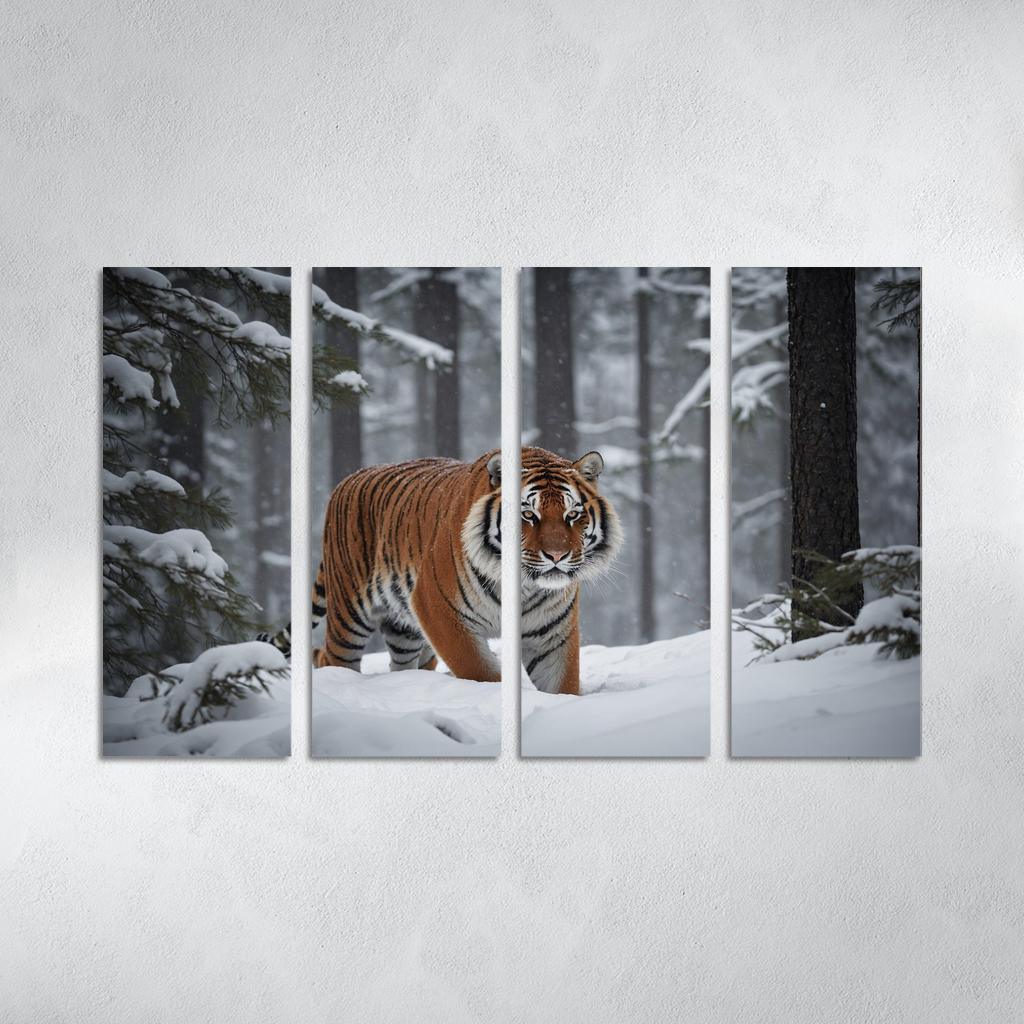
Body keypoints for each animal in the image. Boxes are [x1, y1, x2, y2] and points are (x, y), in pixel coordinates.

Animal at [259, 446, 621, 694]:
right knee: (330, 656)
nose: (557, 555)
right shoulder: (438, 609)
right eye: (528, 515)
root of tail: (348, 478)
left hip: (405, 630)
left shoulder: (553, 634)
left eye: (573, 515)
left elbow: (562, 684)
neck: (524, 586)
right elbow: (479, 670)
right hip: (349, 614)